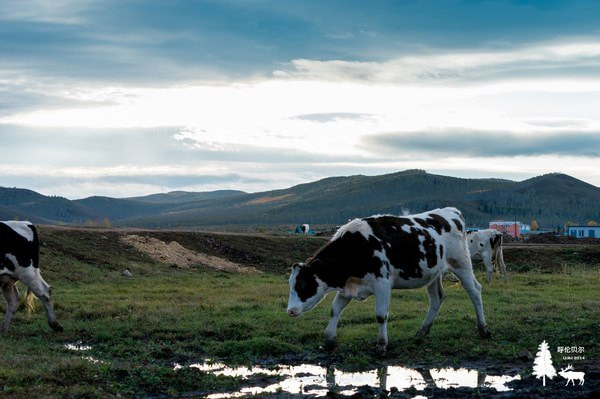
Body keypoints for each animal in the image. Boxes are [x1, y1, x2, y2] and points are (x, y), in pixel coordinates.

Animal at [288, 208, 490, 352]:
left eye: (302, 284)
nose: (290, 311)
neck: (356, 247)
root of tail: (451, 212)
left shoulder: (382, 284)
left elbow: (380, 315)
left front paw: (382, 344)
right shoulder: (349, 286)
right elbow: (334, 309)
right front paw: (329, 338)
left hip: (461, 263)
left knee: (475, 291)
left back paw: (483, 328)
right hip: (433, 273)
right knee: (437, 298)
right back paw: (422, 331)